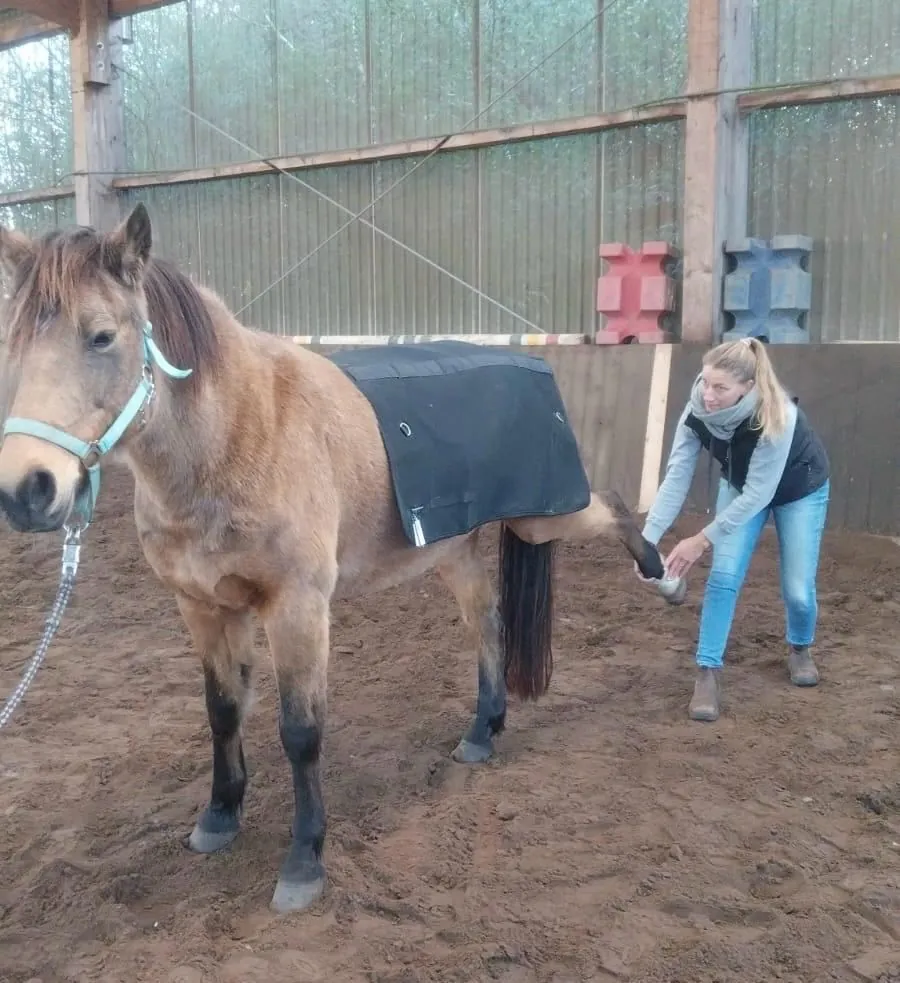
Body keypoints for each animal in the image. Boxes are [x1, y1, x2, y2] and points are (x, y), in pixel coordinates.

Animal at [0, 204, 670, 914]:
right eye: (15, 343)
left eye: (101, 336)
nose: (26, 490)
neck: (239, 434)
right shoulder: (204, 607)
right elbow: (223, 712)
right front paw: (219, 817)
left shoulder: (296, 608)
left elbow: (301, 733)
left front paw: (304, 861)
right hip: (455, 550)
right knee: (487, 625)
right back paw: (482, 731)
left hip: (543, 519)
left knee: (613, 507)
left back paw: (659, 572)